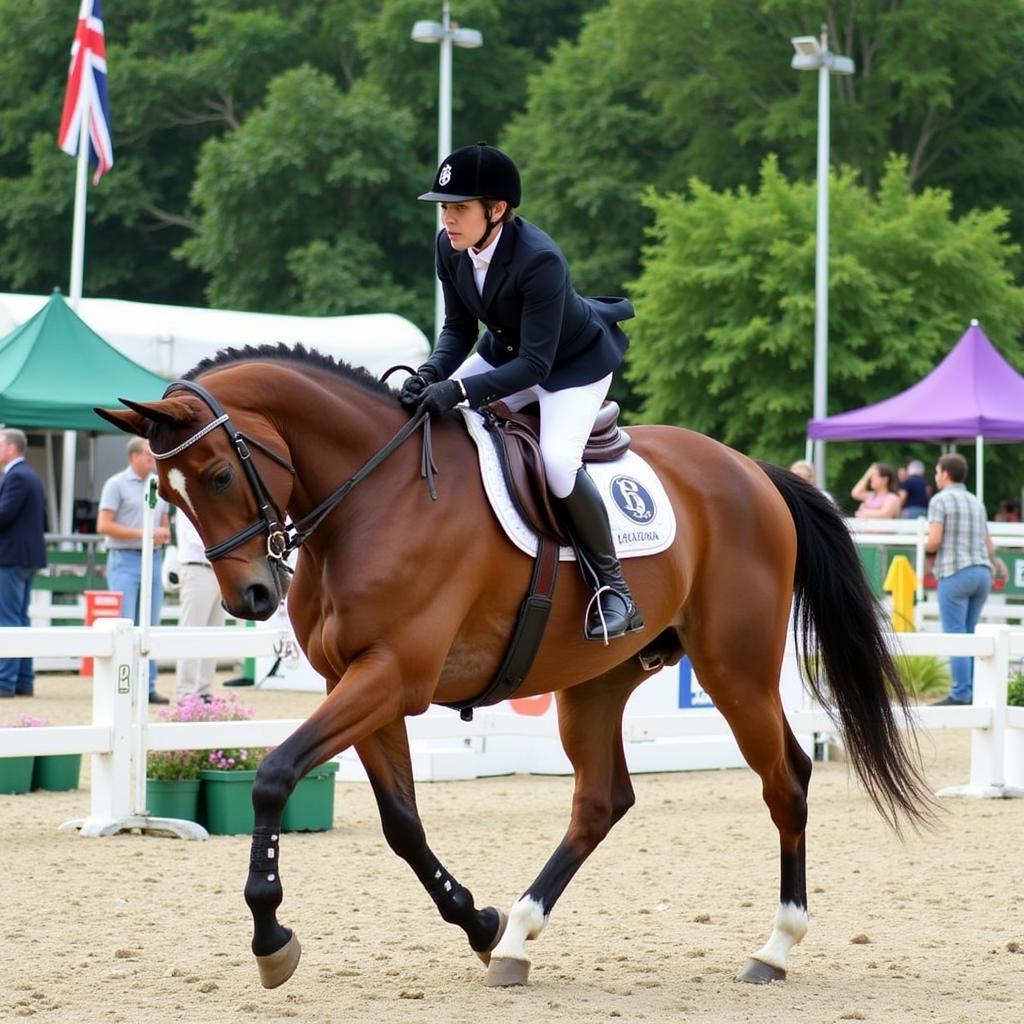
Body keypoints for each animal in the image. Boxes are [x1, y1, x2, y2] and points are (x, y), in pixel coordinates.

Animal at [96, 344, 937, 991]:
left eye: (216, 476)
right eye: (166, 493)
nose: (251, 597)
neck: (372, 497)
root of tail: (753, 473)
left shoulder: (392, 675)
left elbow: (274, 776)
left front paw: (272, 937)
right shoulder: (359, 684)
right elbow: (402, 823)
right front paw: (478, 921)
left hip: (736, 671)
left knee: (785, 779)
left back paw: (776, 946)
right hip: (598, 681)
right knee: (601, 802)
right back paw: (517, 938)